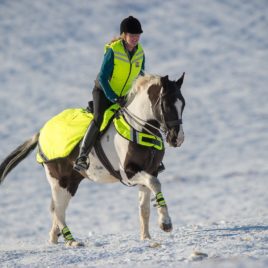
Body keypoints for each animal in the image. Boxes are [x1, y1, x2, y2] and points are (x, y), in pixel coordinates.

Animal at [0, 72, 185, 246]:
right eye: (166, 104)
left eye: (182, 104)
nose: (177, 138)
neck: (138, 127)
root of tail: (40, 133)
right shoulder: (129, 173)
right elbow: (155, 184)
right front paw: (165, 223)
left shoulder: (150, 170)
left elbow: (145, 207)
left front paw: (146, 237)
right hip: (60, 181)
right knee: (58, 210)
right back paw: (72, 241)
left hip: (72, 182)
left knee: (55, 209)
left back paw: (55, 238)